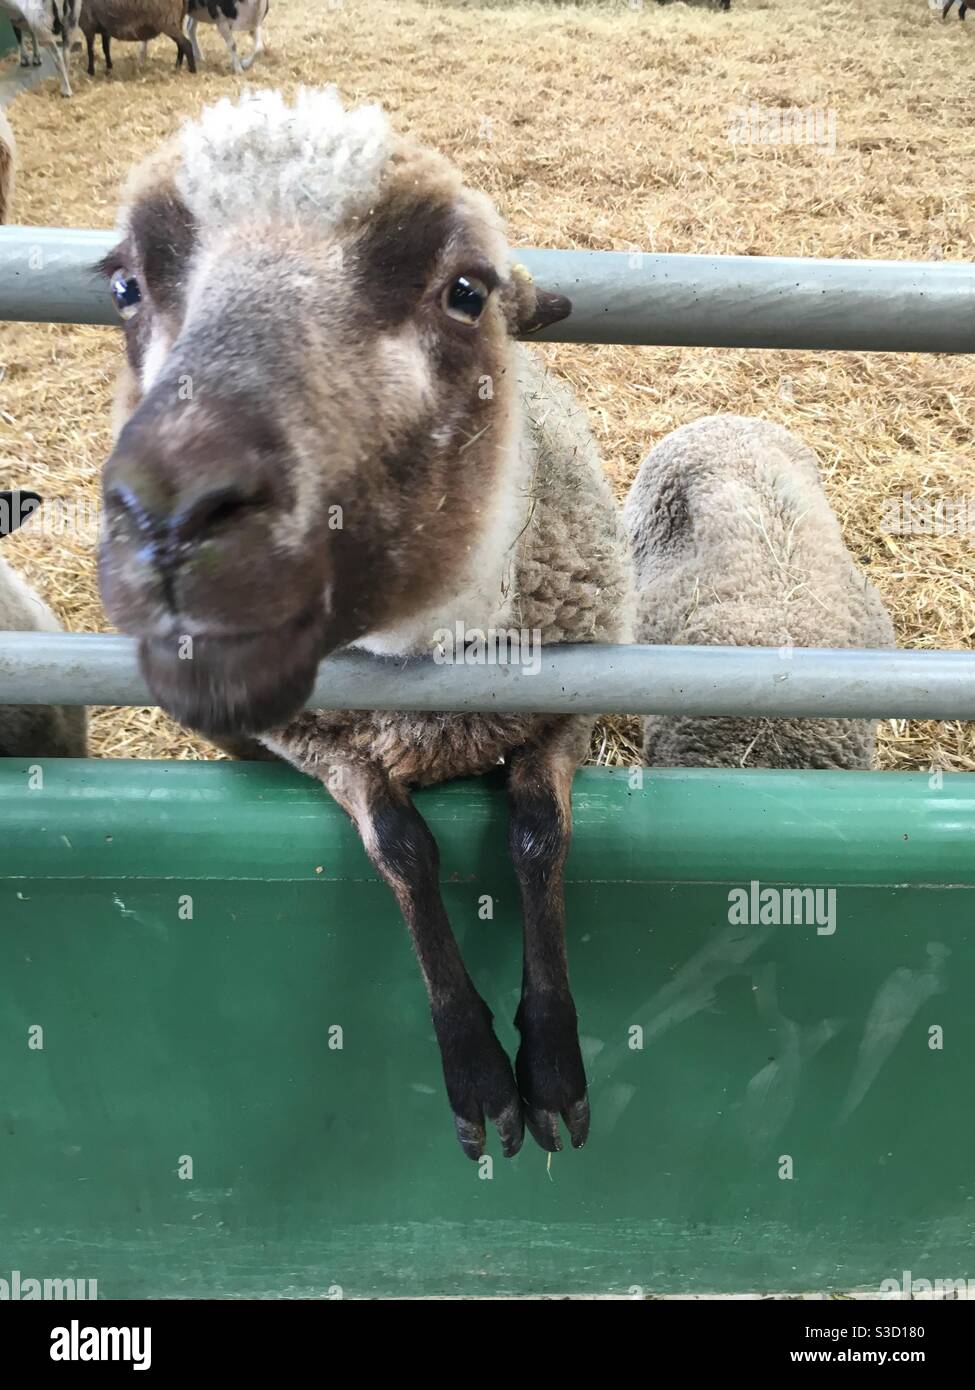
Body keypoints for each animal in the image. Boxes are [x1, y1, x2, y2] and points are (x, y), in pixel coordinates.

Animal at [93, 87, 634, 1160]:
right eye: (126, 287)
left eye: (466, 290)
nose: (169, 511)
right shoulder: (309, 736)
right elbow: (400, 846)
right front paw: (477, 1069)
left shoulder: (572, 694)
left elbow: (539, 837)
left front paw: (552, 1063)